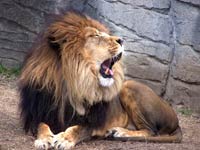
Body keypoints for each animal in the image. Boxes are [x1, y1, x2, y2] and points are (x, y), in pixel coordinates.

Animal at [19, 12, 183, 149]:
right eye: (95, 35)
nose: (121, 40)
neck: (70, 86)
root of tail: (177, 122)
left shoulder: (93, 122)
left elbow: (77, 128)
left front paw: (64, 138)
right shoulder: (39, 113)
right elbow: (41, 125)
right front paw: (44, 139)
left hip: (129, 86)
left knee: (150, 131)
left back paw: (119, 132)